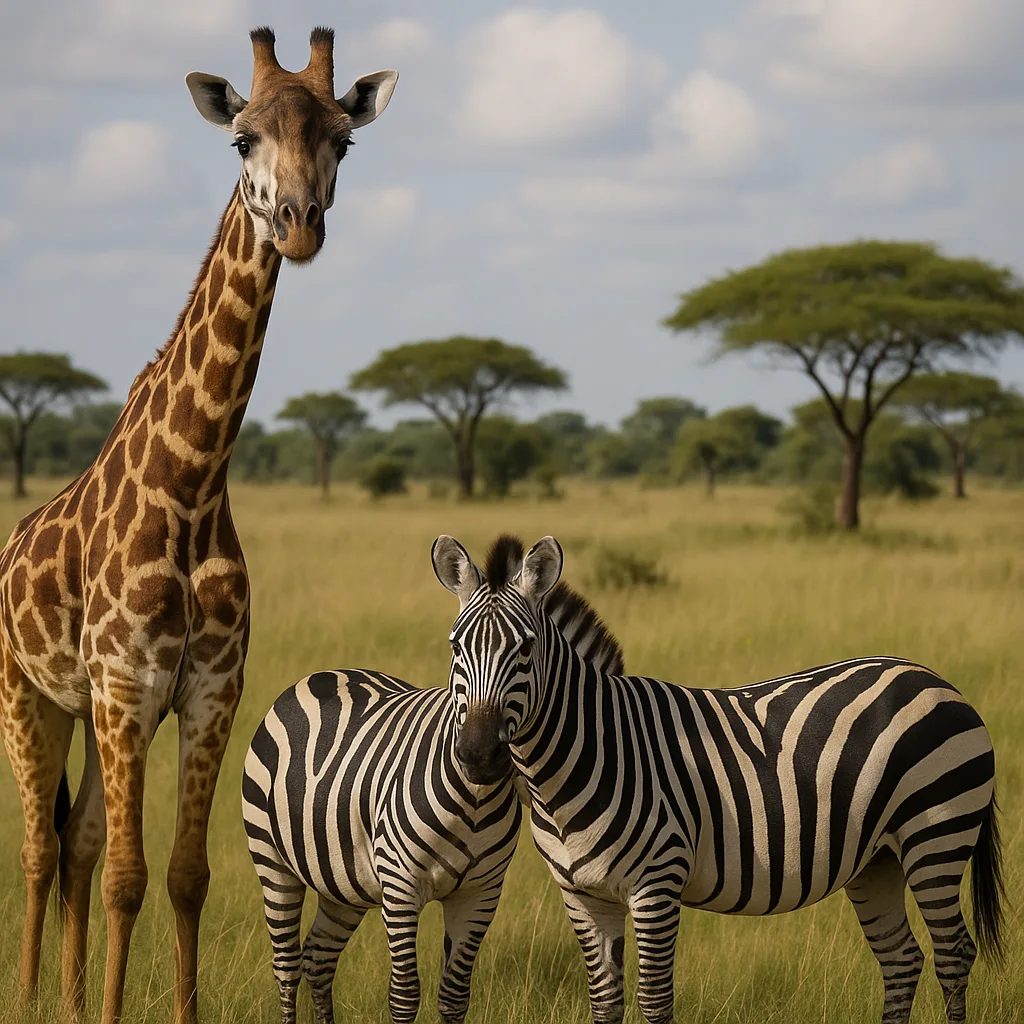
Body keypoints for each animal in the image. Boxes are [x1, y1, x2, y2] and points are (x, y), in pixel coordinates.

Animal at [0, 27, 396, 1024]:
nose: (298, 224)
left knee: (73, 842)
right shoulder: (128, 684)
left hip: (89, 710)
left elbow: (182, 876)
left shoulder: (208, 690)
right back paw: (30, 994)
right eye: (241, 140)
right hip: (31, 695)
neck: (192, 487)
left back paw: (66, 1001)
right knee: (37, 848)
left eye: (344, 142)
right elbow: (128, 878)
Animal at [241, 668, 522, 1024]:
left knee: (318, 958)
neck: (474, 797)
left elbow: (455, 997)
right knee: (287, 966)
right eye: (458, 656)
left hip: (343, 883)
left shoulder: (480, 894)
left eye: (526, 655)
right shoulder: (401, 885)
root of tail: (323, 674)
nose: (481, 757)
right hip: (271, 859)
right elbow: (404, 995)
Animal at [430, 533, 1004, 1024]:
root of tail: (936, 679)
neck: (580, 762)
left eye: (526, 649)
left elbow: (655, 1002)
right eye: (455, 646)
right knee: (902, 958)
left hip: (936, 836)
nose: (478, 755)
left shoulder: (657, 883)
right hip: (877, 858)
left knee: (953, 955)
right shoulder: (583, 895)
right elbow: (606, 1002)